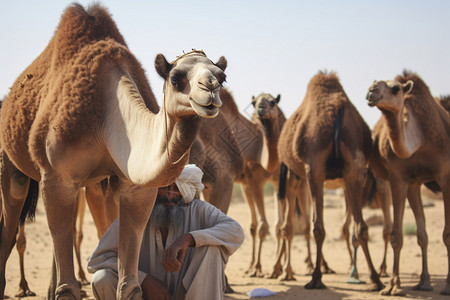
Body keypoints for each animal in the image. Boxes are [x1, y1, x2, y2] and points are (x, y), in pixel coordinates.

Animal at [0, 2, 227, 300]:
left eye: (223, 77)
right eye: (176, 78)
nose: (209, 89)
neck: (107, 111)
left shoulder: (136, 185)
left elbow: (130, 284)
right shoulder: (58, 175)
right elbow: (67, 289)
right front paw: (66, 287)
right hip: (12, 168)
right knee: (8, 228)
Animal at [278, 71, 384, 290]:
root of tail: (337, 113)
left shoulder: (298, 174)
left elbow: (297, 225)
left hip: (314, 171)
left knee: (317, 227)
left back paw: (315, 277)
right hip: (354, 169)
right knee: (361, 227)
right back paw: (375, 280)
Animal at [366, 71, 450, 296]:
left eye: (395, 88)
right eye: (373, 83)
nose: (371, 91)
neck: (420, 140)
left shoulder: (444, 176)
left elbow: (447, 234)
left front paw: (447, 286)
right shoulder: (404, 181)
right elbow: (402, 235)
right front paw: (394, 287)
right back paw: (422, 282)